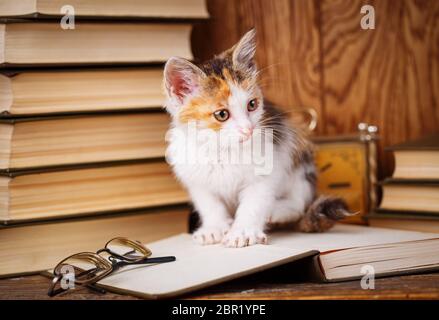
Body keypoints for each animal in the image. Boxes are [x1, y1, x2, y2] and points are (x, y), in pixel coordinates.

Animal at [163, 29, 348, 248]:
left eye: (252, 104)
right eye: (221, 114)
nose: (248, 129)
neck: (223, 149)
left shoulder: (268, 167)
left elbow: (254, 202)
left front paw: (242, 231)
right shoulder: (194, 176)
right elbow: (210, 203)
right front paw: (214, 228)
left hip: (299, 156)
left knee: (299, 204)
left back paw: (277, 211)